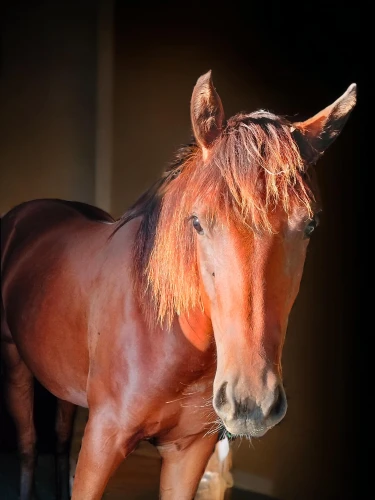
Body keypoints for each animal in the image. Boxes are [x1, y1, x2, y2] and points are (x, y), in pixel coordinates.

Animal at [0, 71, 358, 500]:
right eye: (198, 222)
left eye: (310, 225)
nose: (251, 403)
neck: (165, 332)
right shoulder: (102, 440)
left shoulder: (189, 454)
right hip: (16, 367)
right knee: (27, 446)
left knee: (57, 436)